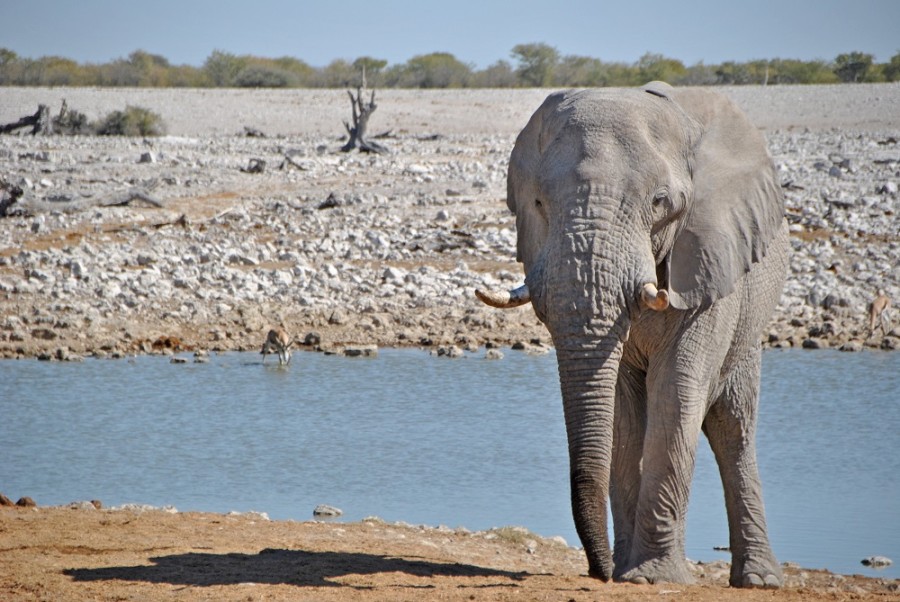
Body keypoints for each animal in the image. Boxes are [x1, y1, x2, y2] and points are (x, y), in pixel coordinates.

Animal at [478, 82, 788, 584]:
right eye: (539, 204)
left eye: (661, 202)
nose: (597, 572)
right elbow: (623, 413)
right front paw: (628, 572)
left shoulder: (707, 259)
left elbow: (676, 394)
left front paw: (653, 578)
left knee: (732, 427)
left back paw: (759, 580)